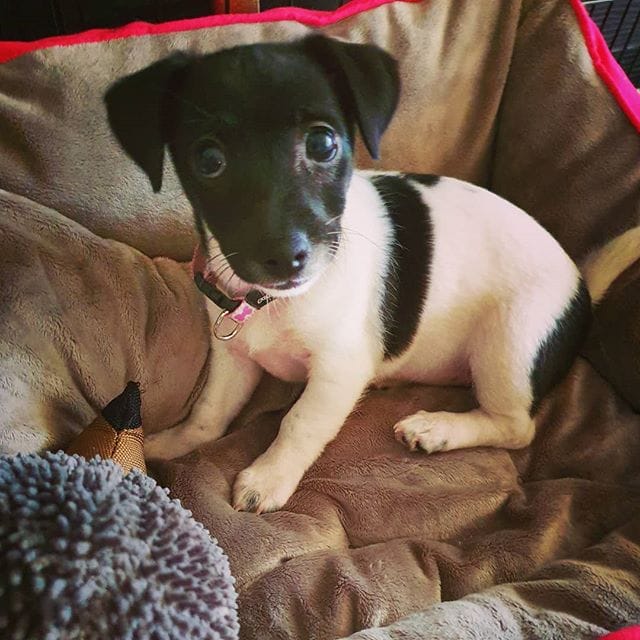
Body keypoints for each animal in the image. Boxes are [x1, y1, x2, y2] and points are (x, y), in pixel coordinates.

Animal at [105, 35, 591, 513]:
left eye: (322, 144)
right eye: (208, 160)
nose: (284, 255)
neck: (275, 303)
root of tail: (582, 283)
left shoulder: (338, 367)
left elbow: (299, 421)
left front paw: (269, 477)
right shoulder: (233, 357)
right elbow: (209, 411)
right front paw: (178, 442)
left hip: (509, 344)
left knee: (516, 427)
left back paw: (437, 429)